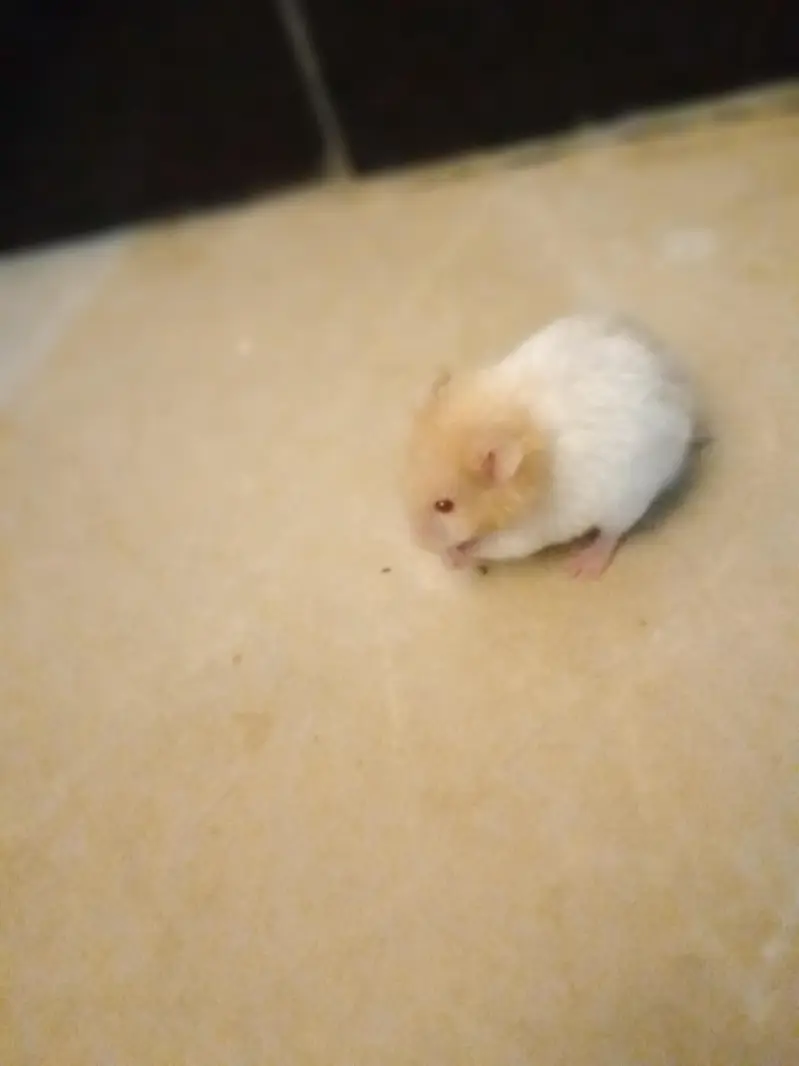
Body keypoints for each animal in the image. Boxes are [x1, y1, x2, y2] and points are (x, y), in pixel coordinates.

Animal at [403, 313, 696, 578]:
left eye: (445, 506)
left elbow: (486, 546)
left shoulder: (524, 532)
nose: (416, 541)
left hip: (626, 501)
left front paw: (456, 558)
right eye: (408, 480)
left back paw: (583, 566)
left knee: (611, 534)